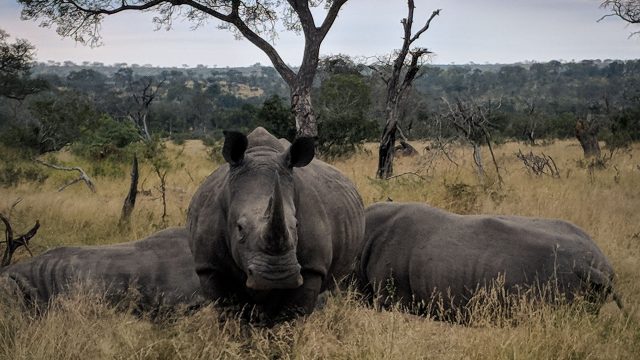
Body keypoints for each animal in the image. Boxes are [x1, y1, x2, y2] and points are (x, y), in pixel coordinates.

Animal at [186, 128, 364, 320]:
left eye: (297, 225)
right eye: (239, 228)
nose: (278, 276)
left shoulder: (312, 267)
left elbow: (293, 314)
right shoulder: (209, 266)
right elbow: (229, 310)